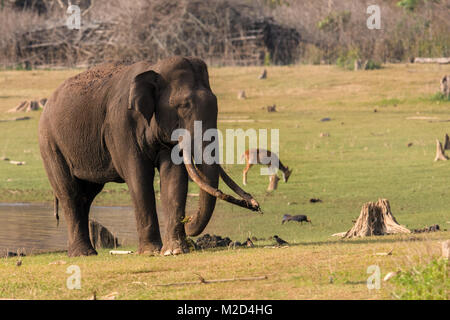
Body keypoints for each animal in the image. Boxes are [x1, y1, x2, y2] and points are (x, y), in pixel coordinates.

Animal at [38, 55, 260, 258]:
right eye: (184, 105)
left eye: (216, 104)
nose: (254, 204)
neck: (155, 67)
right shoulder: (120, 125)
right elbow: (138, 176)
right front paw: (150, 251)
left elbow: (174, 177)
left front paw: (174, 251)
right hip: (50, 144)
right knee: (71, 194)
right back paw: (82, 254)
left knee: (87, 195)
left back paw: (88, 252)